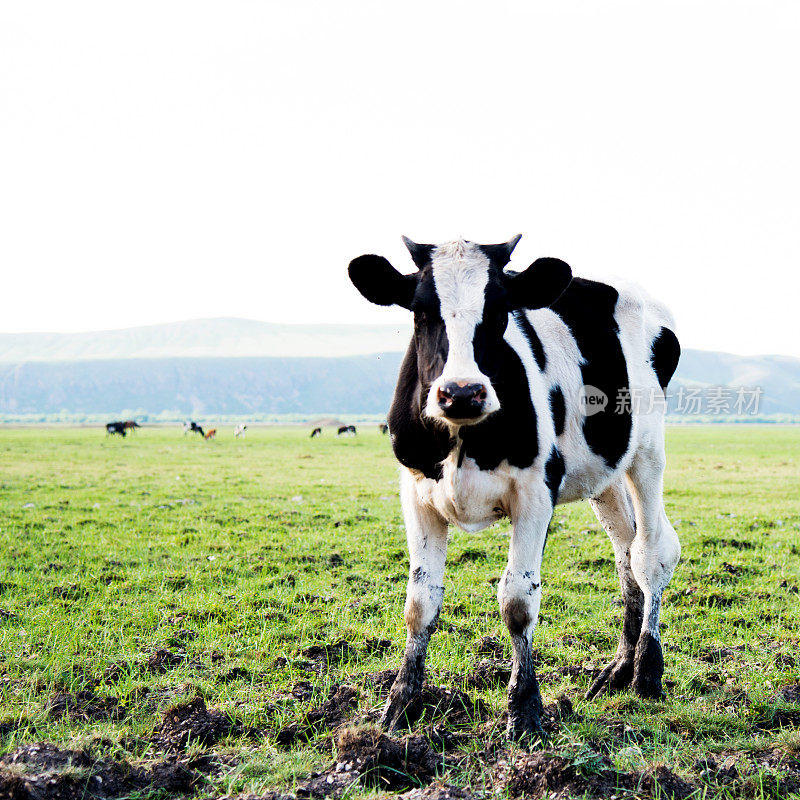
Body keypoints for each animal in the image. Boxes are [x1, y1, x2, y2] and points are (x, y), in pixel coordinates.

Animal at [350, 234, 680, 740]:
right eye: (421, 311)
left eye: (500, 310)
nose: (461, 392)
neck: (465, 436)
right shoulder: (416, 492)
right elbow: (420, 602)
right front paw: (400, 704)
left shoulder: (536, 492)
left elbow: (518, 601)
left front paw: (524, 708)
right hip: (602, 471)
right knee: (625, 550)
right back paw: (618, 669)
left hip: (647, 450)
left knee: (651, 552)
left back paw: (646, 670)